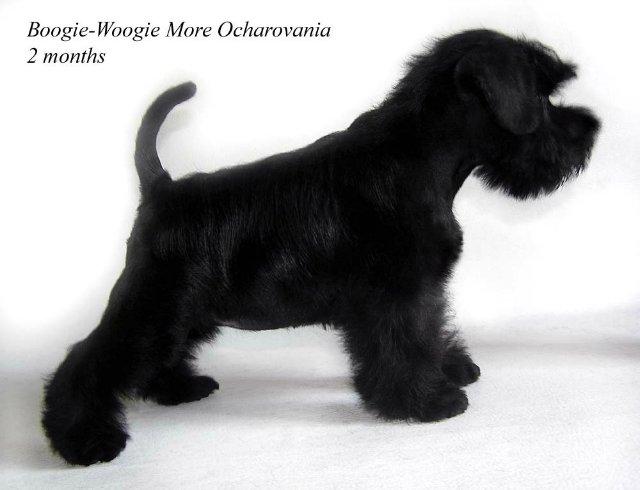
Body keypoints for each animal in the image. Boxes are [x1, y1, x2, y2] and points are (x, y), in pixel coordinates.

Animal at [42, 29, 599, 465]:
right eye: (542, 97)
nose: (590, 131)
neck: (419, 158)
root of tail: (162, 190)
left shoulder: (421, 290)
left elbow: (431, 329)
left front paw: (449, 370)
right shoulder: (397, 295)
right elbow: (406, 344)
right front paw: (428, 401)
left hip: (183, 311)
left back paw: (177, 388)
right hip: (156, 306)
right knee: (88, 361)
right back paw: (85, 440)